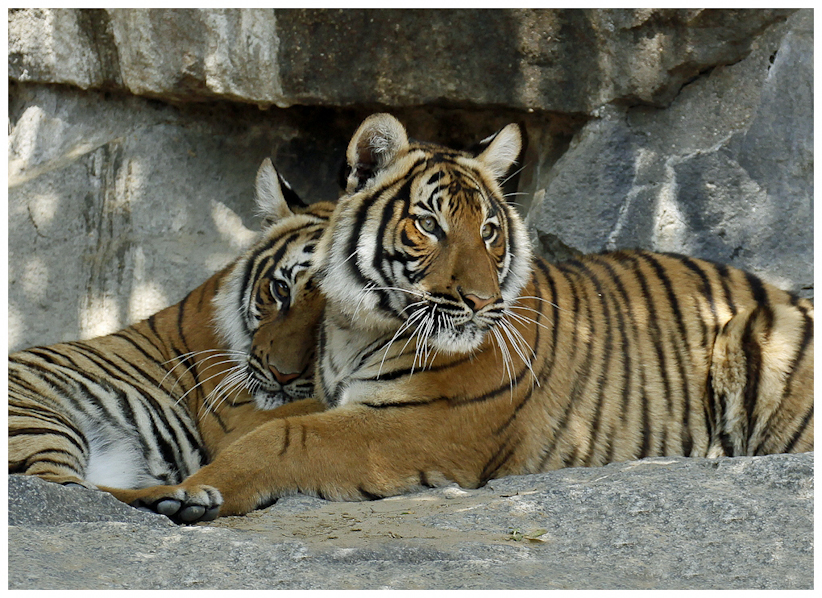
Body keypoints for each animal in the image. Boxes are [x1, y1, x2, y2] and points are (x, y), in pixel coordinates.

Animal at [8, 158, 333, 519]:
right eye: (281, 290)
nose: (281, 374)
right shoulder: (237, 419)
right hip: (40, 419)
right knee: (64, 489)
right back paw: (180, 498)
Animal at [112, 113, 813, 523]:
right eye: (429, 224)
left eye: (490, 230)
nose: (479, 301)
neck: (356, 329)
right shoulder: (341, 397)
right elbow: (267, 419)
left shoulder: (416, 425)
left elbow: (280, 436)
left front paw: (193, 493)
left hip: (753, 337)